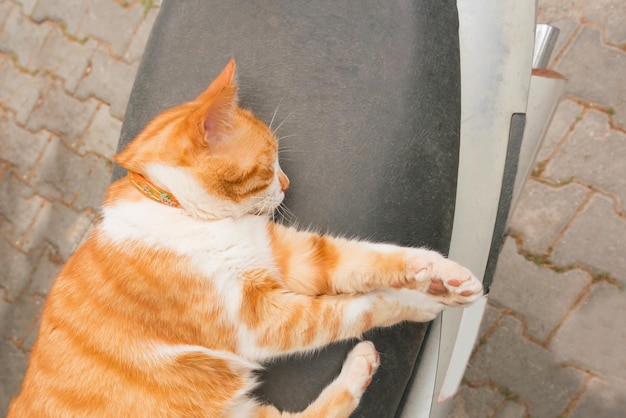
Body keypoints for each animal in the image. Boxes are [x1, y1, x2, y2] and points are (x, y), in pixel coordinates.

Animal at [7, 59, 480, 418]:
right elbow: (356, 307)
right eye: (270, 163)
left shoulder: (287, 255)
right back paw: (359, 365)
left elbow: (373, 259)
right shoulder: (264, 322)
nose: (287, 184)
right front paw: (416, 303)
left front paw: (442, 280)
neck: (181, 211)